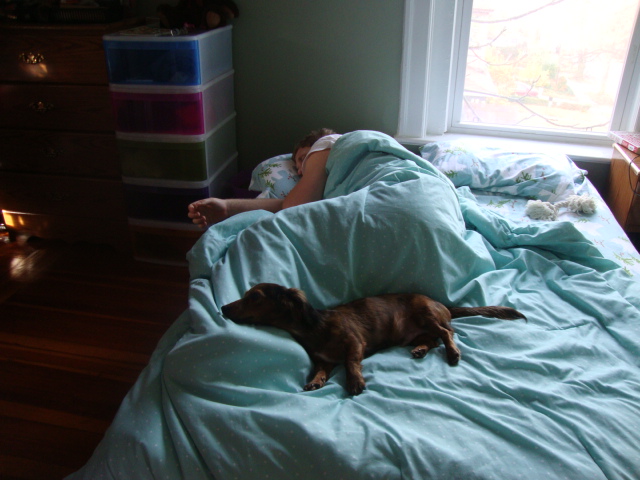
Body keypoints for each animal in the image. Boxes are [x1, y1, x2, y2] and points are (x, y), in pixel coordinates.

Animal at [221, 283, 526, 395]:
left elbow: (350, 362)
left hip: (425, 312)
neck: (314, 328)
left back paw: (452, 353)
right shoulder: (323, 359)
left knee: (447, 333)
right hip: (416, 332)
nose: (223, 308)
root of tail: (444, 305)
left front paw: (355, 382)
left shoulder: (355, 343)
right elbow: (321, 368)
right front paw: (316, 381)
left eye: (254, 297)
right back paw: (420, 349)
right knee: (433, 339)